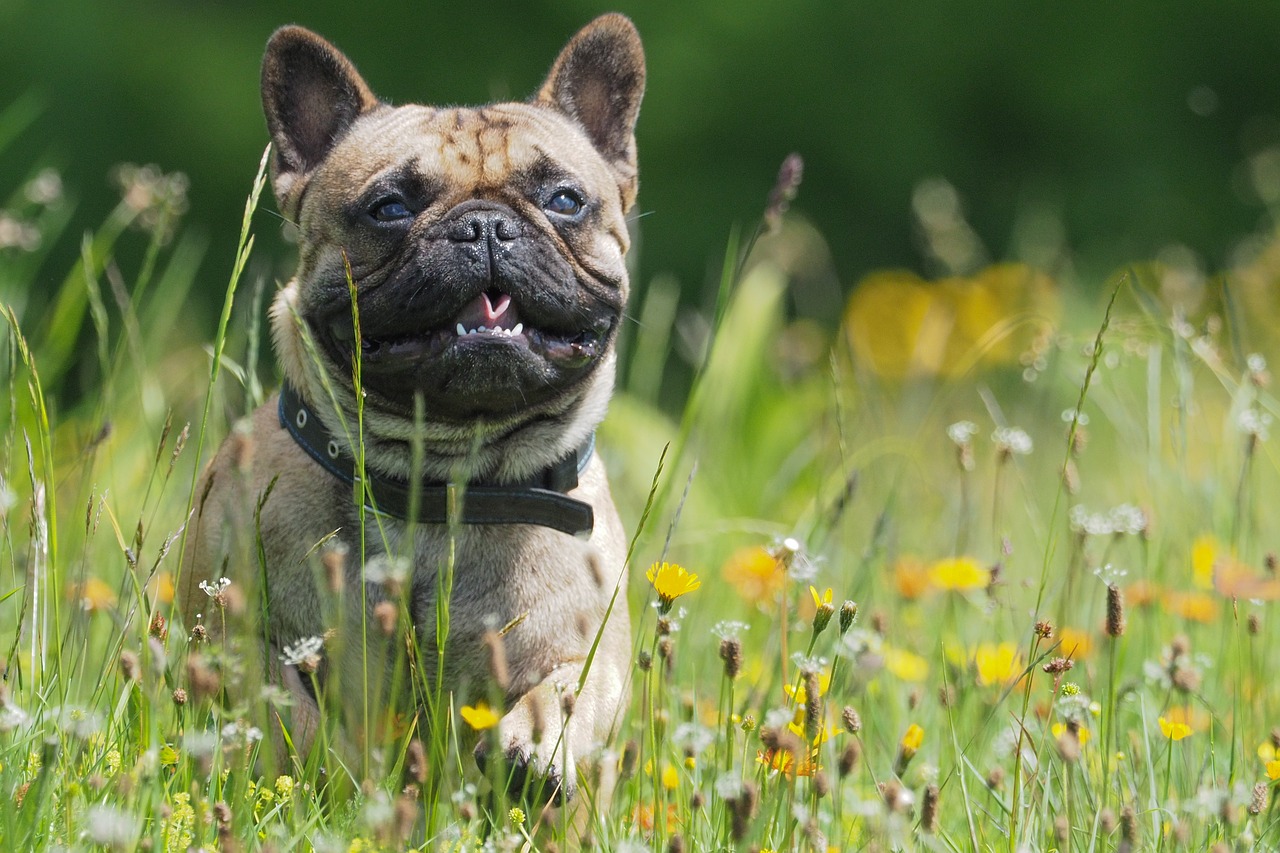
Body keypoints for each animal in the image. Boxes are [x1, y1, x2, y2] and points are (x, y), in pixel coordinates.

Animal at [180, 9, 640, 799]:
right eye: (389, 208)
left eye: (565, 200)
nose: (485, 225)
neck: (445, 476)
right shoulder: (243, 633)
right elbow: (281, 702)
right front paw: (321, 769)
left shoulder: (594, 652)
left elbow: (566, 689)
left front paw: (534, 743)